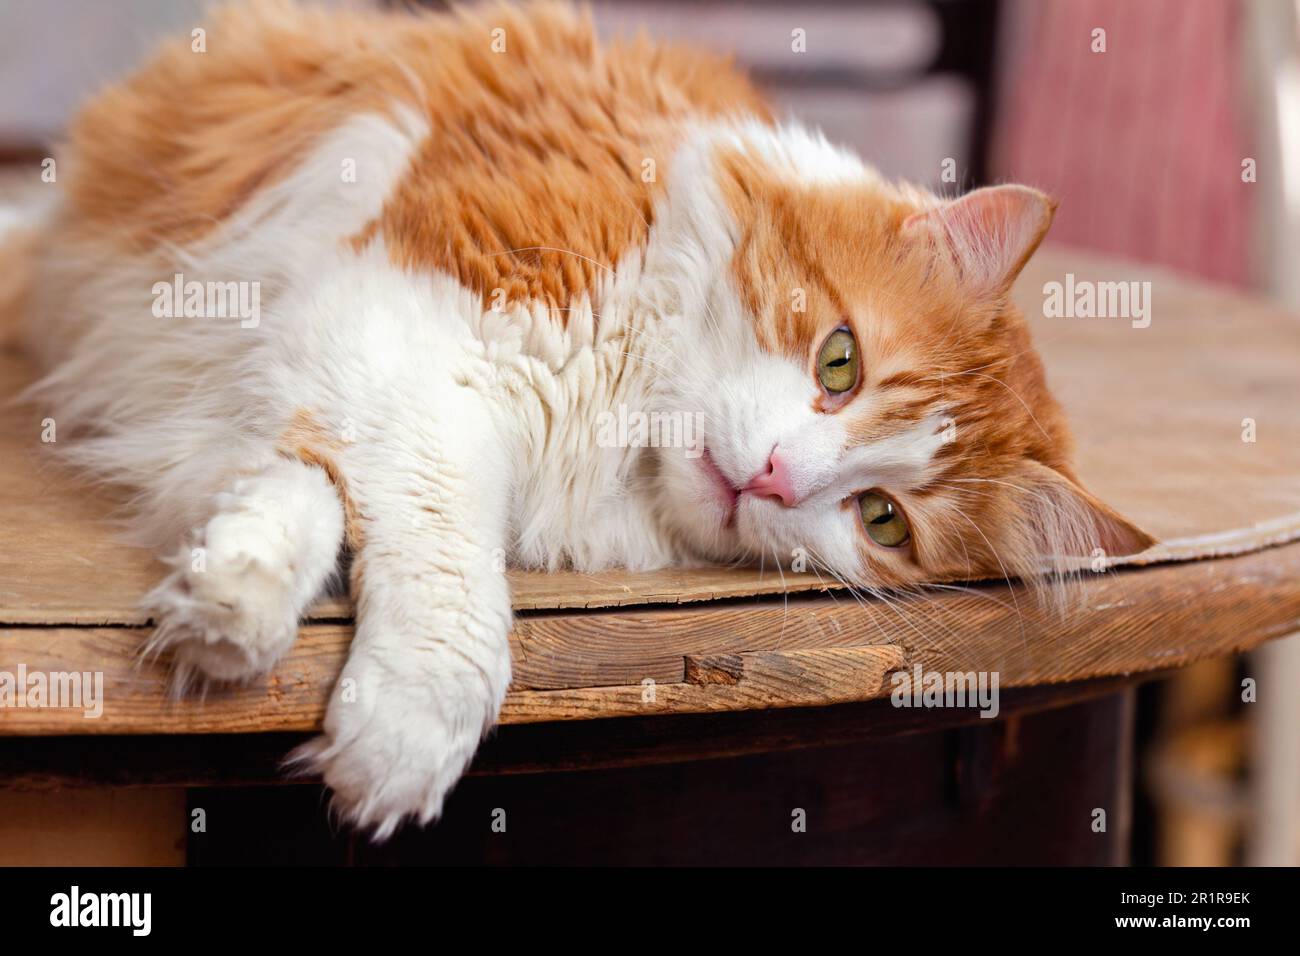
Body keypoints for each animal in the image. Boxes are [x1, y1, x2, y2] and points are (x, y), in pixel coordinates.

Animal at [20, 0, 1154, 837]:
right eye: (840, 361)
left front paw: (230, 591)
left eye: (882, 520)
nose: (776, 477)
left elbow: (306, 481)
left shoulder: (346, 364)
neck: (624, 413)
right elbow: (446, 561)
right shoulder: (400, 320)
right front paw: (399, 716)